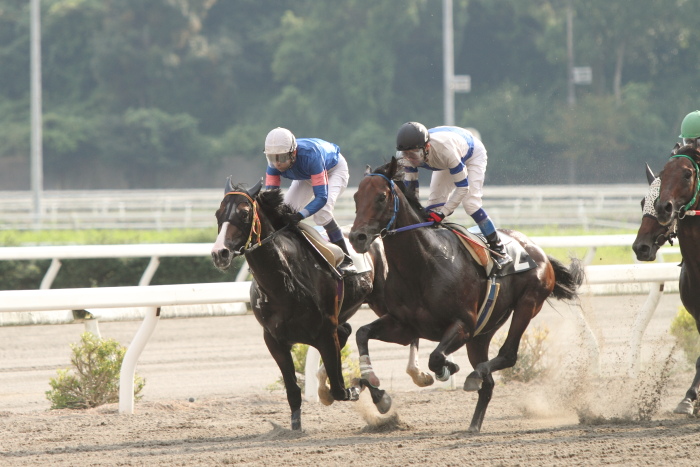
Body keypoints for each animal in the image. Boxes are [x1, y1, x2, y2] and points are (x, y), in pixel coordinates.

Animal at [348, 158, 584, 436]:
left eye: (381, 197)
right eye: (356, 197)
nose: (356, 237)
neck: (423, 264)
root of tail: (537, 249)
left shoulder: (463, 325)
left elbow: (436, 357)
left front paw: (447, 369)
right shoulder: (404, 326)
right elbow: (362, 333)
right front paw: (378, 393)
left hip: (527, 304)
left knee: (508, 354)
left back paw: (474, 377)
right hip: (483, 333)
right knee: (489, 382)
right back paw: (473, 424)